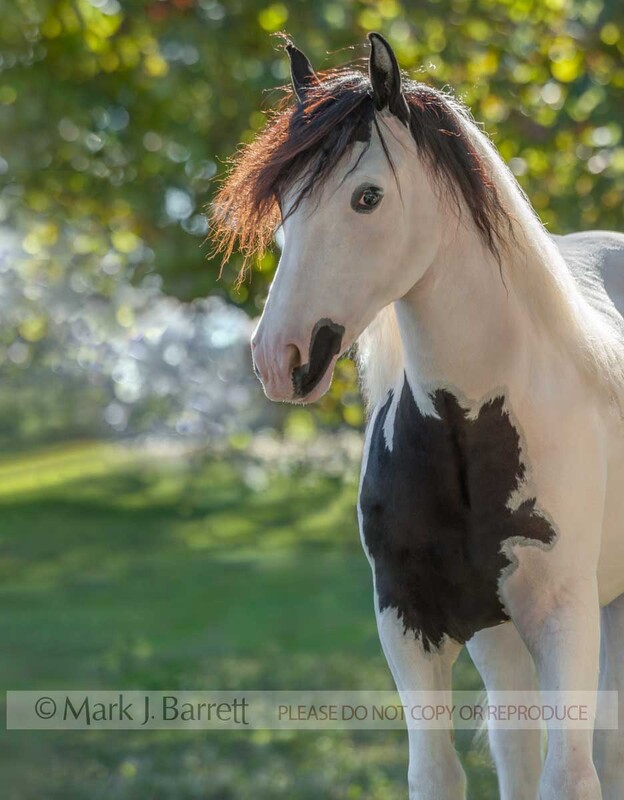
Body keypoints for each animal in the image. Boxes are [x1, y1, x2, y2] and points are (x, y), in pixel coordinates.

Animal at [212, 32, 624, 800]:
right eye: (282, 198)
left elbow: (570, 774)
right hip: (502, 636)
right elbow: (439, 771)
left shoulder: (566, 619)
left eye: (367, 197)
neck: (470, 429)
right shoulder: (410, 624)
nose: (278, 357)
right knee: (517, 747)